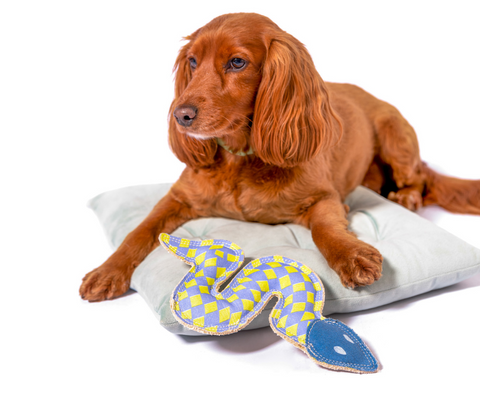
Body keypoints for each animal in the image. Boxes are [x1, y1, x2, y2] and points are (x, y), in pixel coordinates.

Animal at [79, 11, 480, 304]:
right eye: (192, 61)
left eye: (237, 62)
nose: (181, 115)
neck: (240, 158)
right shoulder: (177, 198)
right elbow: (138, 231)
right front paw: (107, 271)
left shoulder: (325, 197)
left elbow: (325, 229)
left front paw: (351, 255)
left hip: (394, 130)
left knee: (419, 177)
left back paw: (406, 197)